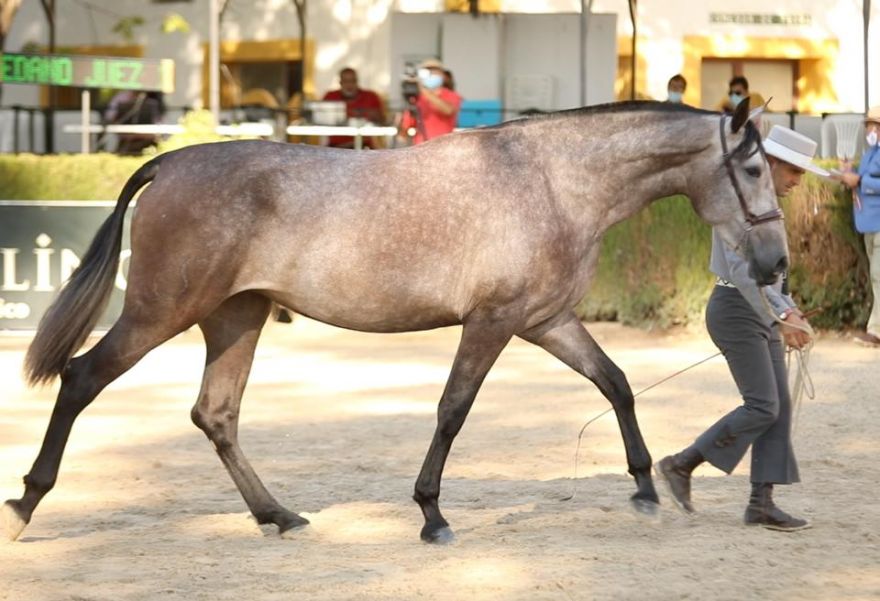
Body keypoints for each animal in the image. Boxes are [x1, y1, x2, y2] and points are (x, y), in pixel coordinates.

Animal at [0, 99, 784, 544]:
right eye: (754, 172)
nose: (776, 263)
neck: (551, 182)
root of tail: (168, 164)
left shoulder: (547, 320)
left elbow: (615, 382)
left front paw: (647, 488)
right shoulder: (492, 322)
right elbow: (451, 411)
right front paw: (432, 515)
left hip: (235, 318)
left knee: (214, 414)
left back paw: (278, 515)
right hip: (162, 310)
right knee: (81, 379)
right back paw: (26, 503)